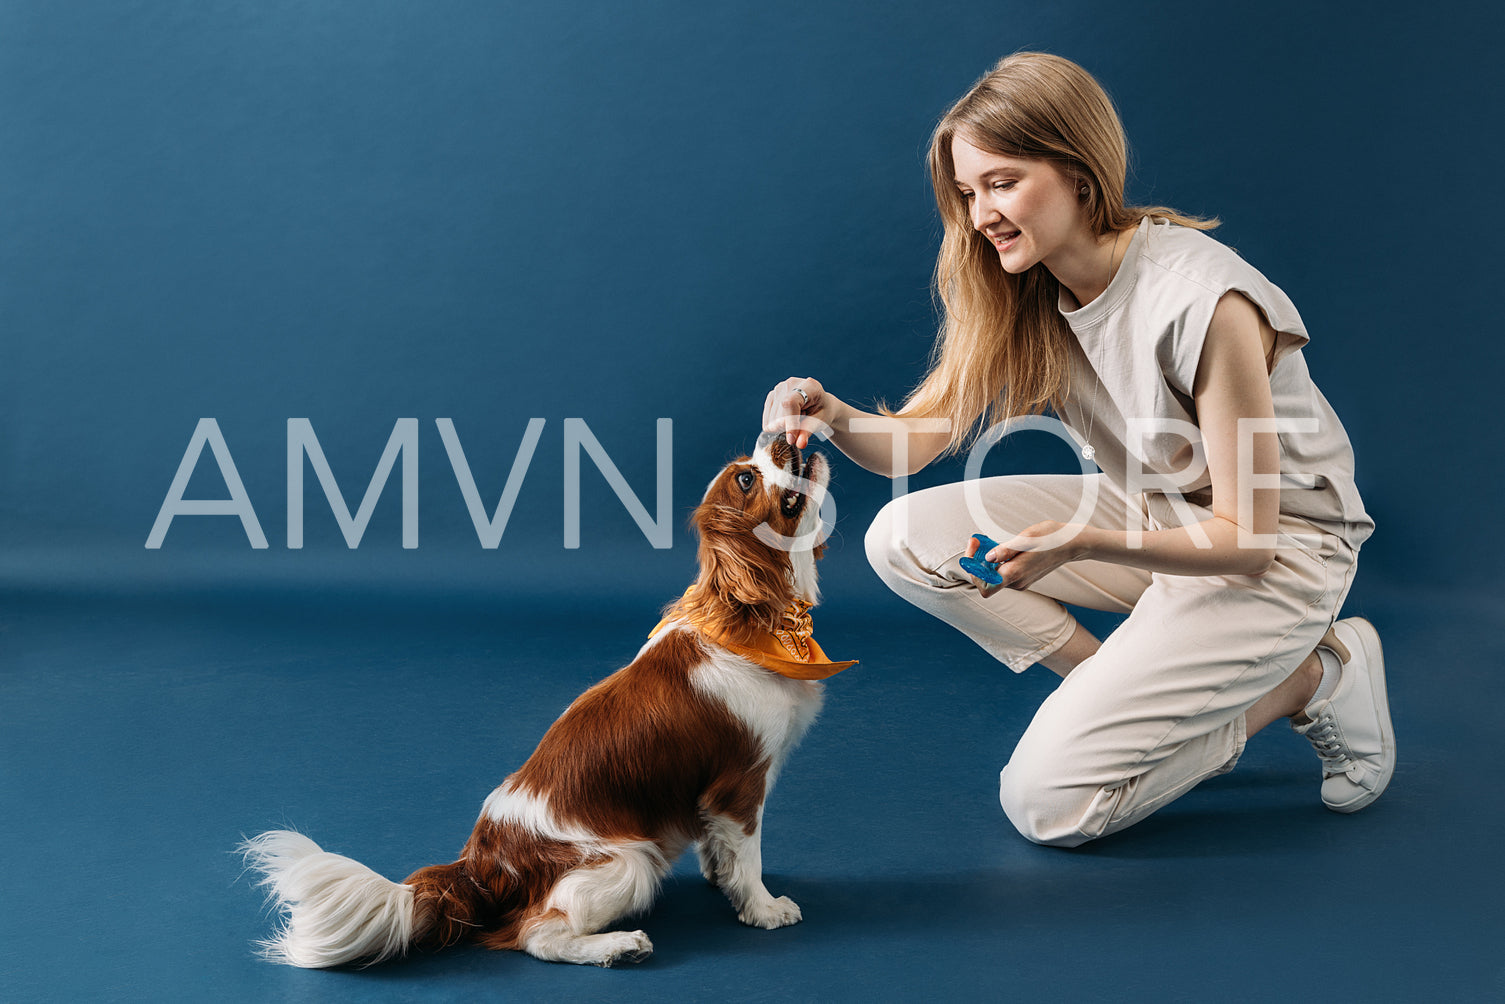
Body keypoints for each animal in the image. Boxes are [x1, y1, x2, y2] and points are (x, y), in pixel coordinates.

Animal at [237, 436, 848, 969]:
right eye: (747, 478)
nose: (778, 435)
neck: (752, 621)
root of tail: (479, 866)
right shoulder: (740, 783)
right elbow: (748, 854)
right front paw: (763, 908)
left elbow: (721, 853)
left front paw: (721, 881)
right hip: (631, 861)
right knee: (538, 935)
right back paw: (618, 946)